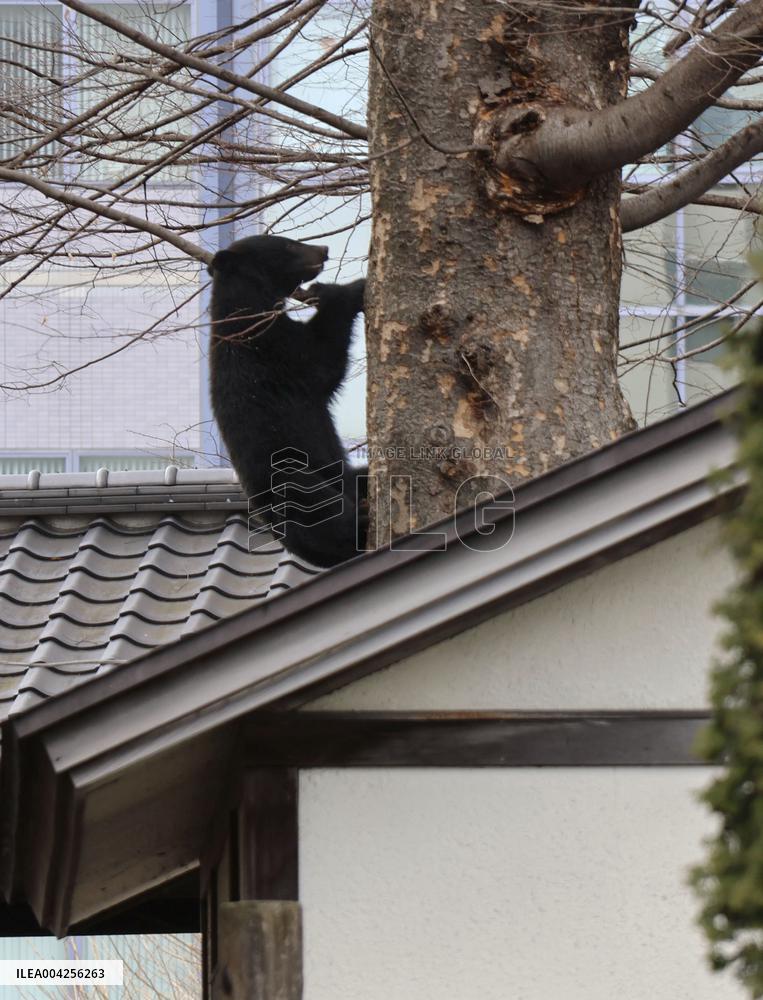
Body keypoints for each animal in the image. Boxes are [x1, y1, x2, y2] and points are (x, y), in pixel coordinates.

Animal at [207, 234, 367, 568]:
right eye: (288, 245)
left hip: (339, 477)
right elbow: (321, 359)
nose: (324, 250)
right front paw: (345, 290)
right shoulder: (270, 349)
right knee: (313, 501)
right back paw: (360, 517)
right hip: (288, 478)